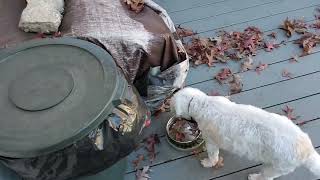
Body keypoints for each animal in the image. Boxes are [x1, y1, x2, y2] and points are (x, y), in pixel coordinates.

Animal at [172, 87, 320, 179]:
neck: (201, 103)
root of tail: (308, 150)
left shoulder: (211, 141)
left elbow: (213, 156)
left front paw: (208, 163)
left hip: (276, 167)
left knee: (266, 177)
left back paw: (254, 177)